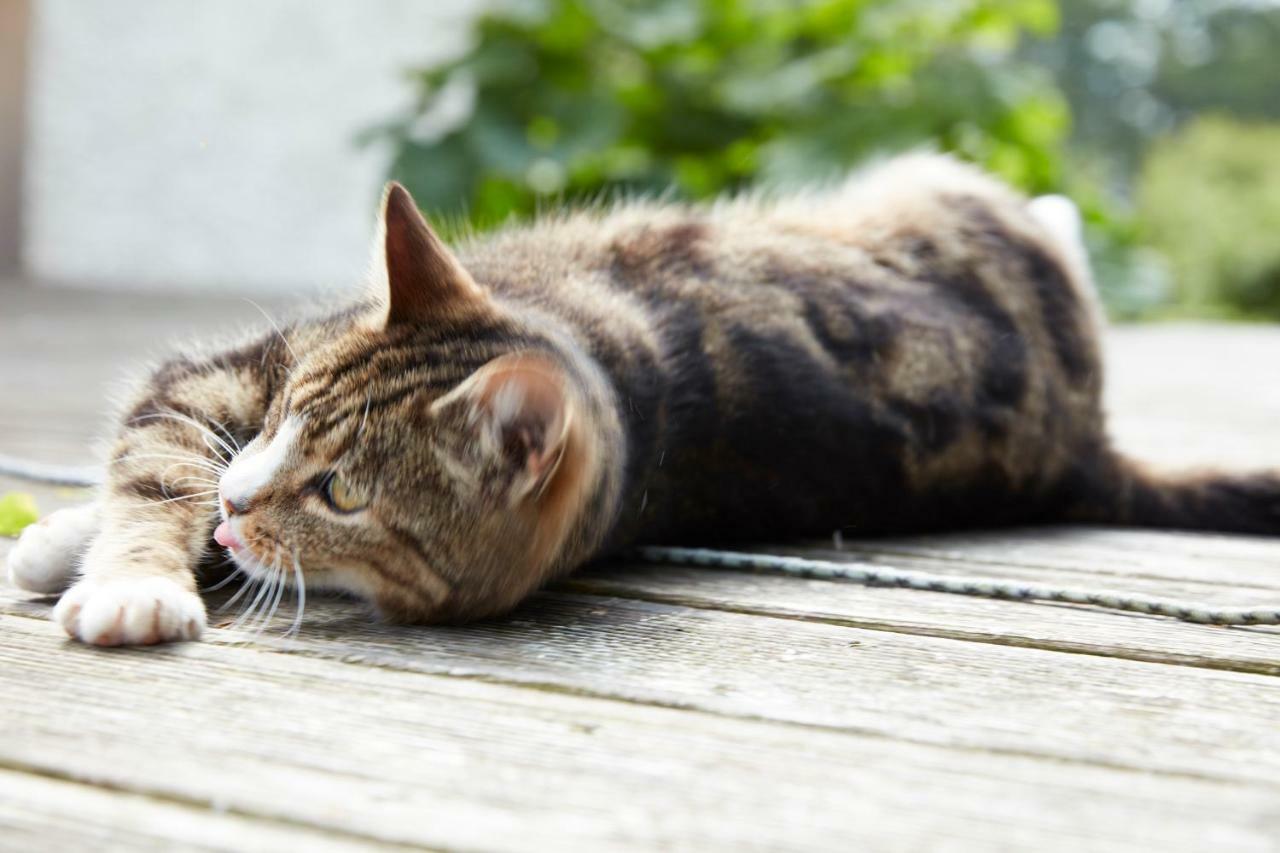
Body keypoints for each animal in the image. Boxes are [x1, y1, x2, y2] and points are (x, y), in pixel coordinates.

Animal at [10, 154, 1280, 645]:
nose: (244, 499)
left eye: (341, 494)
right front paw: (110, 549)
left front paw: (130, 575)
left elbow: (171, 485)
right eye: (286, 419)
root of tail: (1086, 446)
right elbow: (161, 467)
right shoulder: (225, 381)